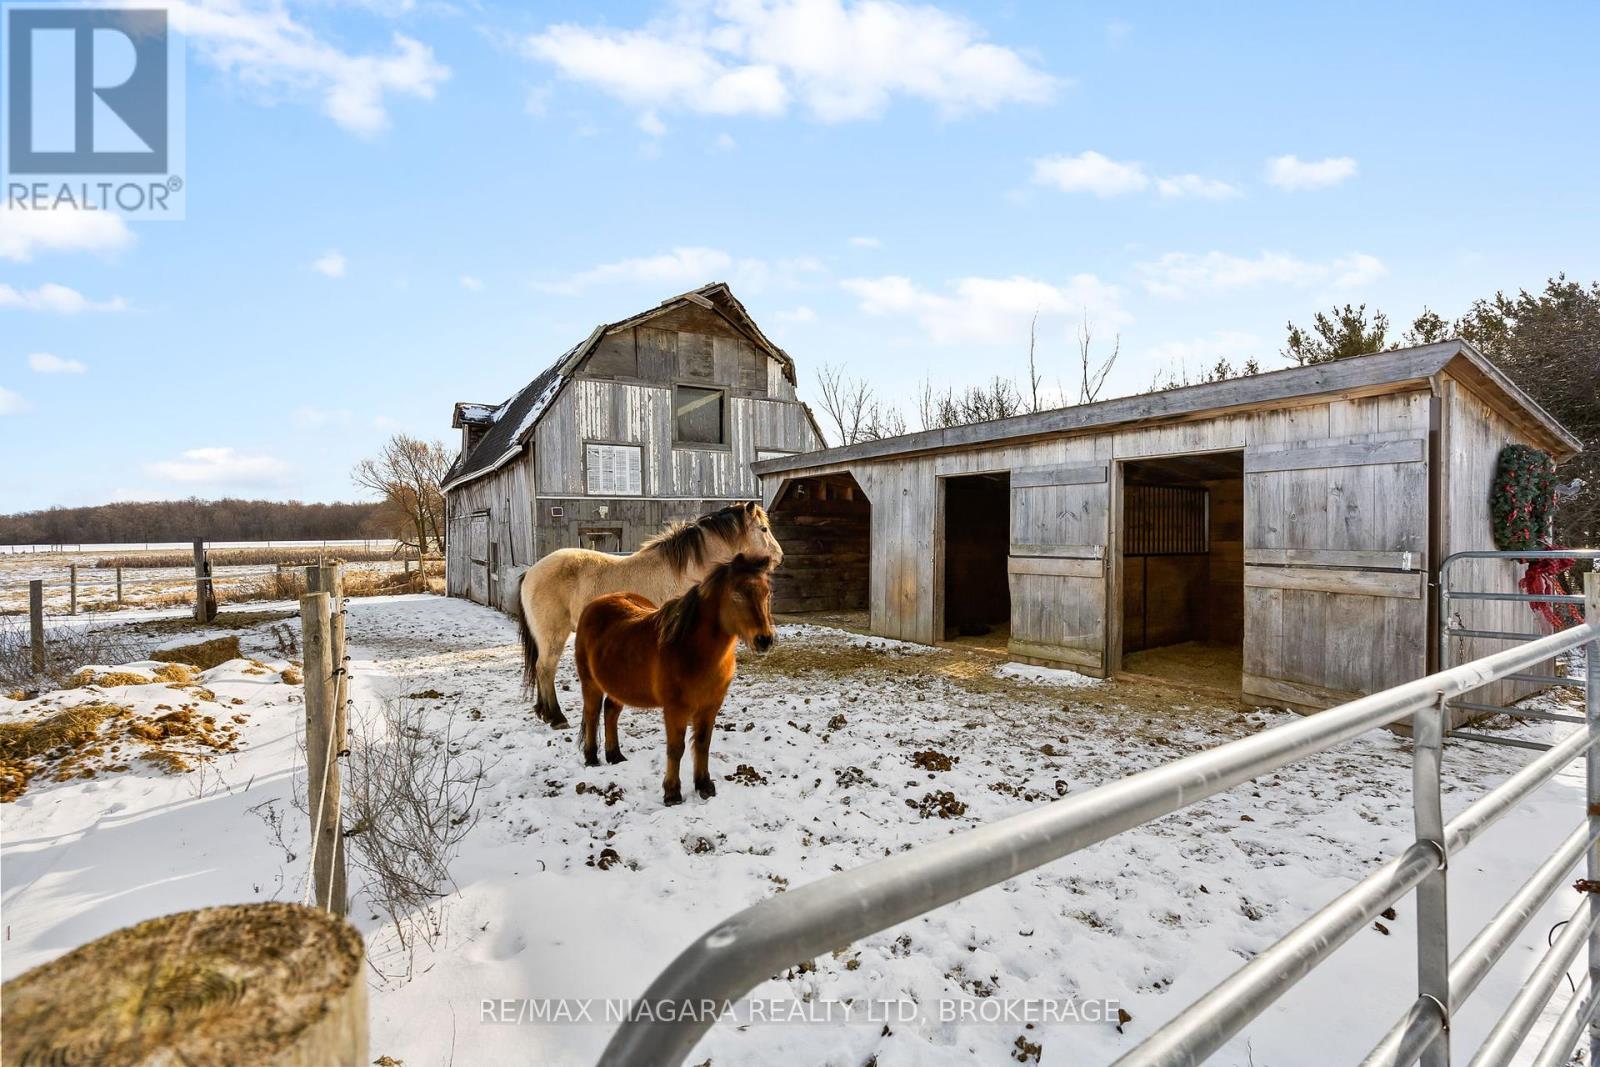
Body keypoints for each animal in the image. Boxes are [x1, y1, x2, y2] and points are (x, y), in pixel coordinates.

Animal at [515, 502, 784, 726]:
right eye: (763, 529)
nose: (780, 556)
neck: (686, 571)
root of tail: (531, 572)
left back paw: (544, 713)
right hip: (553, 635)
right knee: (545, 669)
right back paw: (556, 717)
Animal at [572, 556, 777, 806]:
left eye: (767, 593)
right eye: (737, 595)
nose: (764, 639)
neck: (690, 649)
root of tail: (595, 604)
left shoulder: (710, 707)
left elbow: (703, 744)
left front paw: (704, 786)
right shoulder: (675, 709)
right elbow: (676, 748)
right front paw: (672, 793)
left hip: (618, 686)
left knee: (610, 711)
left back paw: (615, 756)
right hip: (590, 683)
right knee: (592, 714)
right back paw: (592, 758)